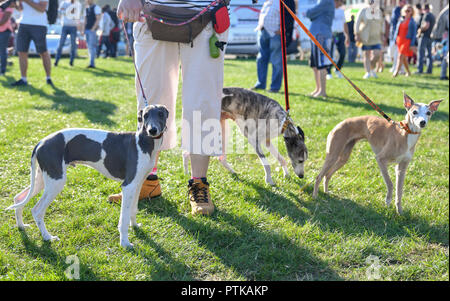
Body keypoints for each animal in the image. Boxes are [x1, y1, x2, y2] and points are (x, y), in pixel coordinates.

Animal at [7, 104, 169, 247]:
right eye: (145, 115)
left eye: (161, 114)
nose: (152, 130)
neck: (143, 142)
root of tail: (41, 142)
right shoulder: (128, 186)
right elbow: (123, 218)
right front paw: (125, 243)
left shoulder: (138, 184)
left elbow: (133, 210)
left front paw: (135, 226)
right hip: (55, 182)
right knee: (37, 211)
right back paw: (47, 237)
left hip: (43, 179)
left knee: (19, 198)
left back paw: (21, 226)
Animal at [312, 92, 442, 212]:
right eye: (414, 112)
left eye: (428, 113)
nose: (422, 122)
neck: (406, 132)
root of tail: (340, 123)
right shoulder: (380, 159)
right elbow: (390, 183)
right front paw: (388, 201)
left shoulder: (401, 168)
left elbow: (399, 191)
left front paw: (399, 211)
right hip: (333, 154)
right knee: (319, 176)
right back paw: (315, 196)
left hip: (343, 157)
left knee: (327, 175)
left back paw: (326, 192)